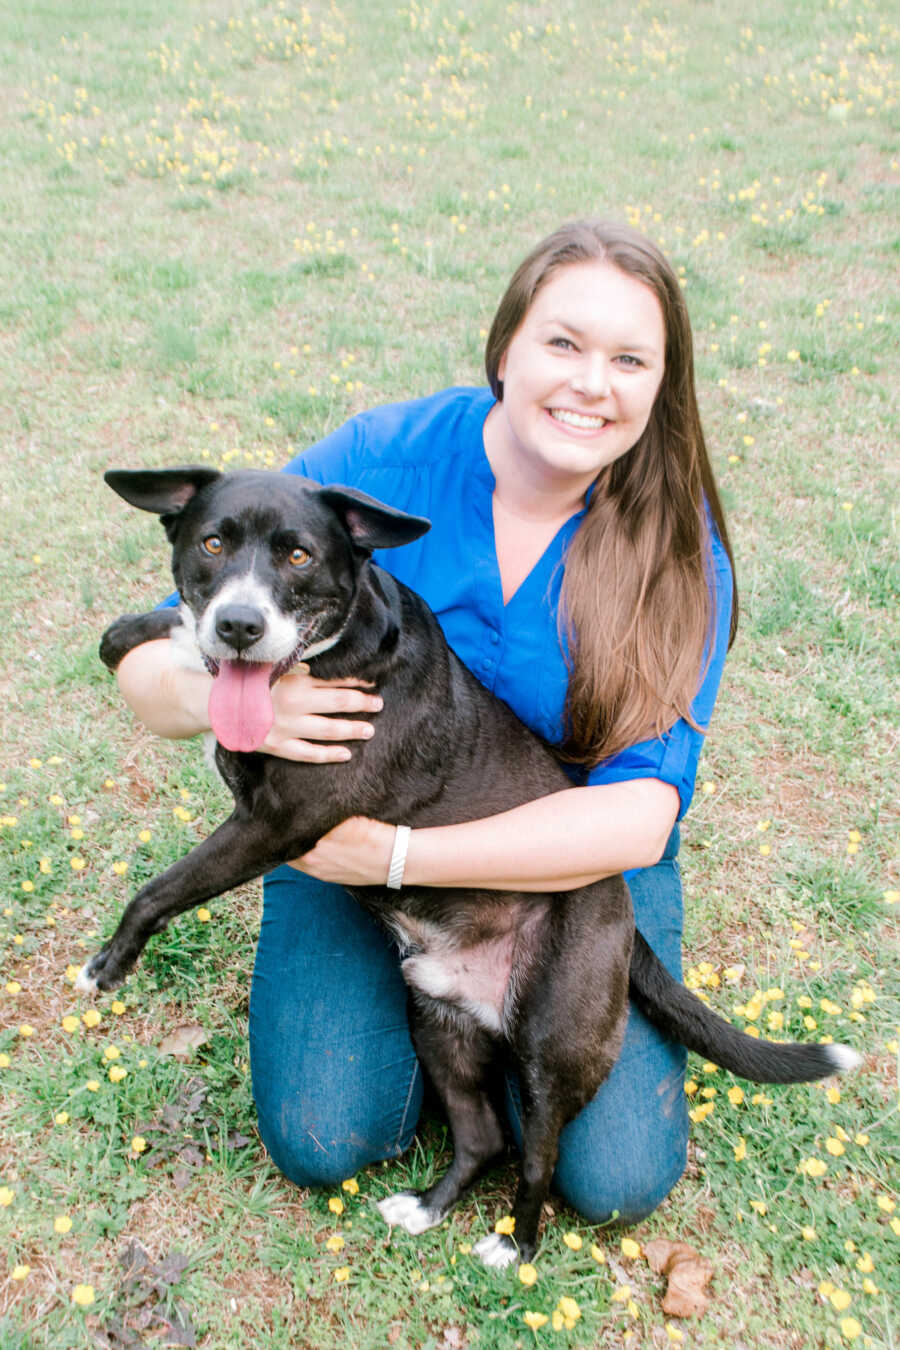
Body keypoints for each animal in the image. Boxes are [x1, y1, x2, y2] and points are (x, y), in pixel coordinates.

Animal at [80, 464, 863, 1263]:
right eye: (212, 543)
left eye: (299, 556)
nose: (240, 625)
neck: (327, 656)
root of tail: (626, 924)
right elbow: (176, 630)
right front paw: (133, 635)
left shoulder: (276, 824)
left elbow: (158, 890)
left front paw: (109, 964)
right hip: (437, 1019)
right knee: (485, 1137)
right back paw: (426, 1208)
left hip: (554, 1040)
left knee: (540, 1153)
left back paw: (515, 1247)